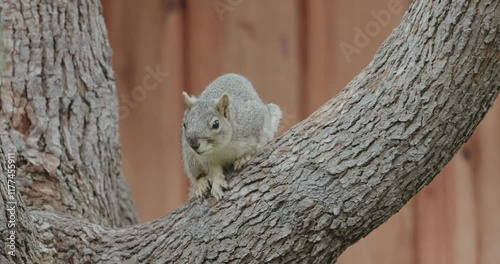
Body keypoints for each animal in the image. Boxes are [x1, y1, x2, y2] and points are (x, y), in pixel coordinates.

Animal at [181, 73, 284, 201]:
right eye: (184, 125)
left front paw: (244, 157)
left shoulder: (254, 122)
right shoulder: (205, 158)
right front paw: (217, 182)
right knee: (196, 175)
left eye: (216, 124)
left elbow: (255, 145)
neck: (221, 147)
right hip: (189, 158)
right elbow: (213, 170)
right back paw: (201, 182)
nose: (194, 145)